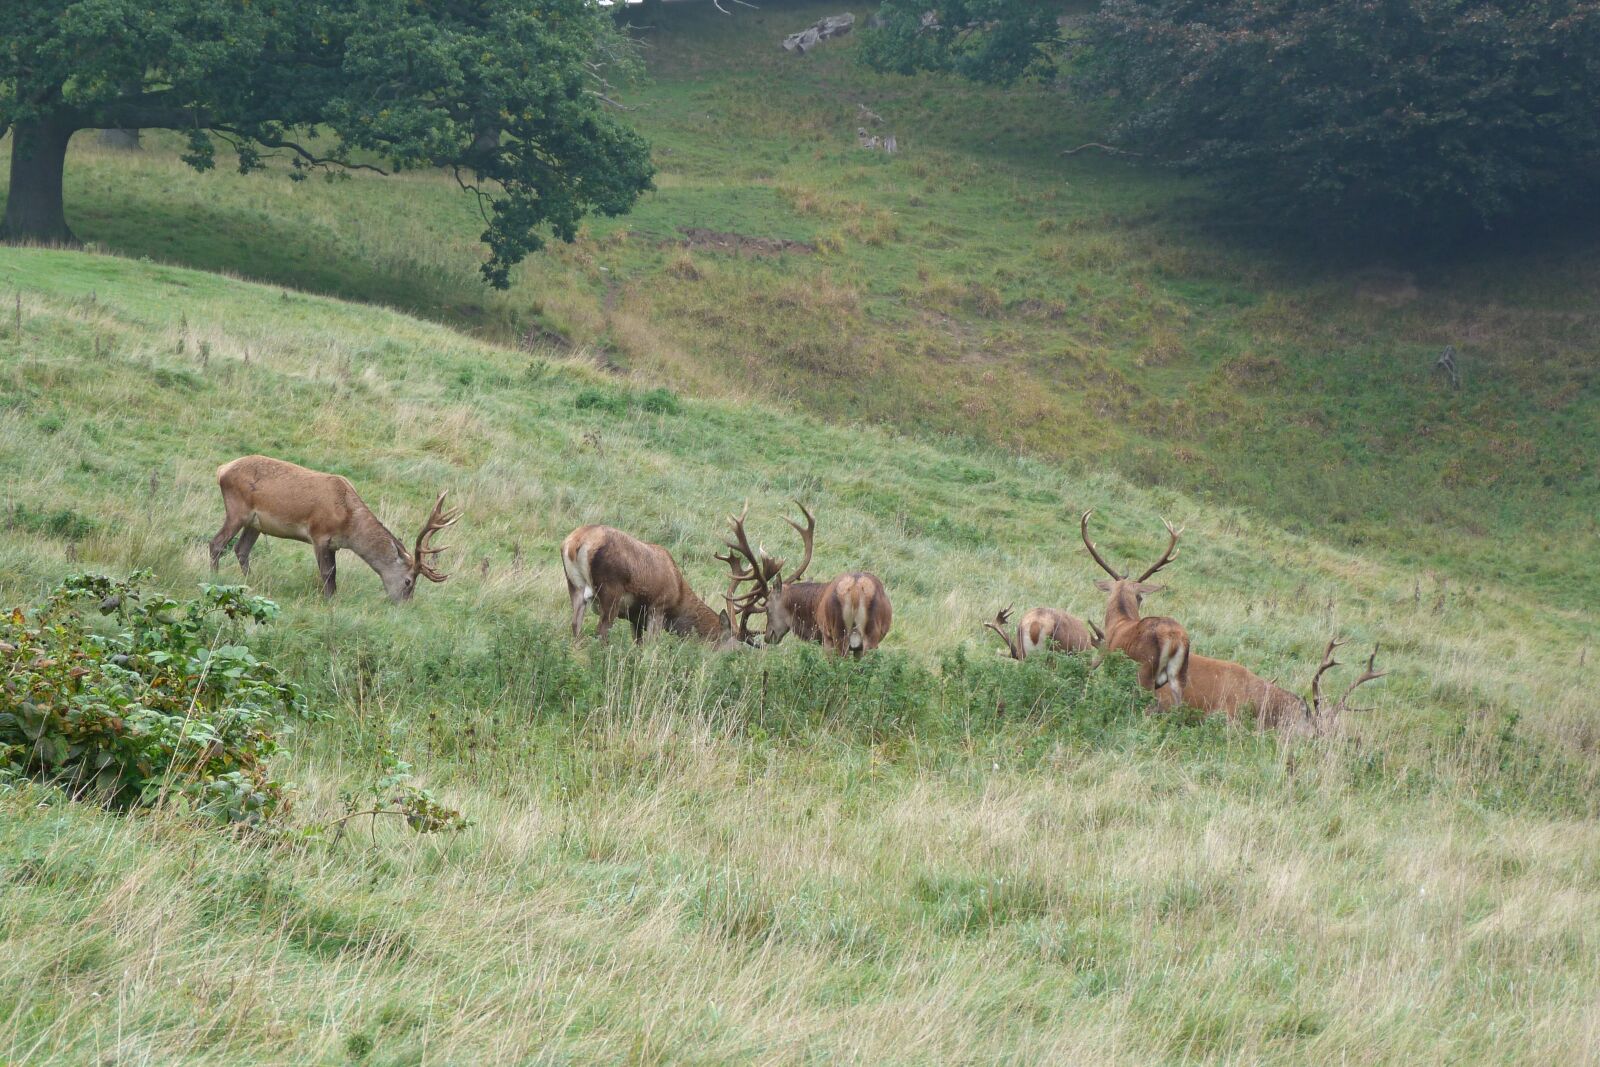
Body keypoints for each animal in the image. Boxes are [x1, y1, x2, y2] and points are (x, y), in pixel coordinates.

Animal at [208, 455, 460, 602]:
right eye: (409, 581)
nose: (404, 603)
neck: (348, 523)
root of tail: (222, 469)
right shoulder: (319, 534)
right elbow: (328, 573)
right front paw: (329, 601)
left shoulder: (334, 545)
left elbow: (333, 572)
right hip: (237, 510)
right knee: (217, 543)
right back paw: (215, 577)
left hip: (256, 523)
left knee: (241, 549)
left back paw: (251, 582)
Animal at [560, 524, 745, 649]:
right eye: (734, 648)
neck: (678, 595)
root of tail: (575, 543)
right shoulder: (658, 607)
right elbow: (652, 644)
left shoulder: (635, 618)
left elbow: (639, 644)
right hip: (610, 592)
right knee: (601, 631)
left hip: (574, 586)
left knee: (575, 625)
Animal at [720, 503, 893, 657]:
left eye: (767, 607)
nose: (768, 636)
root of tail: (857, 591)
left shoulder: (826, 638)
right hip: (871, 637)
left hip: (839, 634)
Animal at [1080, 509, 1190, 706]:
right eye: (1139, 597)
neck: (1118, 622)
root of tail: (1174, 638)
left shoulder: (1107, 654)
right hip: (1180, 674)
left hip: (1145, 668)